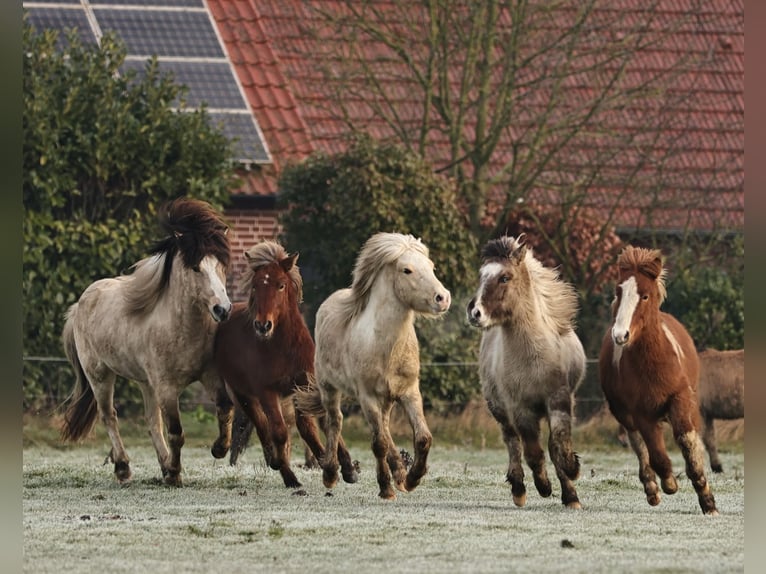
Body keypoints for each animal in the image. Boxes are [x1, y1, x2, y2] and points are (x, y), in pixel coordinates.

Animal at [60, 198, 234, 486]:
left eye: (221, 266)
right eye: (196, 267)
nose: (223, 310)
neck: (182, 328)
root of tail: (79, 305)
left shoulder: (209, 375)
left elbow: (225, 407)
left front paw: (218, 449)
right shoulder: (167, 388)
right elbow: (176, 432)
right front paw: (175, 474)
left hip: (145, 382)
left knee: (152, 421)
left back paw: (162, 465)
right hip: (100, 376)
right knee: (109, 415)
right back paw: (123, 468)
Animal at [214, 242, 358, 490]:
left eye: (281, 285)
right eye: (255, 286)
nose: (263, 325)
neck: (283, 348)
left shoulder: (306, 387)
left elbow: (315, 426)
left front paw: (343, 468)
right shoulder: (267, 392)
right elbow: (280, 433)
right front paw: (298, 471)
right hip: (245, 396)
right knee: (264, 429)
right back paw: (284, 468)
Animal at [294, 232, 450, 502]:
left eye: (431, 267)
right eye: (407, 270)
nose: (442, 298)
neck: (386, 347)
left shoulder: (410, 392)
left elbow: (422, 438)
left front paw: (411, 479)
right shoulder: (366, 397)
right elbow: (379, 444)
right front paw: (386, 489)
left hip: (386, 399)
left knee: (384, 428)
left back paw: (399, 472)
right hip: (329, 387)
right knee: (334, 421)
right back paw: (332, 474)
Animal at [464, 236, 584, 510]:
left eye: (505, 277)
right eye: (482, 275)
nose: (475, 312)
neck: (535, 358)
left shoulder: (559, 399)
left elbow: (559, 443)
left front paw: (572, 475)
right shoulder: (521, 409)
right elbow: (533, 453)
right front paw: (544, 486)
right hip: (499, 408)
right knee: (513, 443)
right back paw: (519, 490)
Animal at [600, 248, 720, 516]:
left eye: (645, 296)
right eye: (618, 291)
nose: (620, 335)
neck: (652, 365)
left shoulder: (680, 399)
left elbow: (687, 441)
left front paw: (707, 500)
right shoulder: (641, 413)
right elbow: (657, 456)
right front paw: (669, 483)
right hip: (625, 415)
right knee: (639, 446)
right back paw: (652, 488)